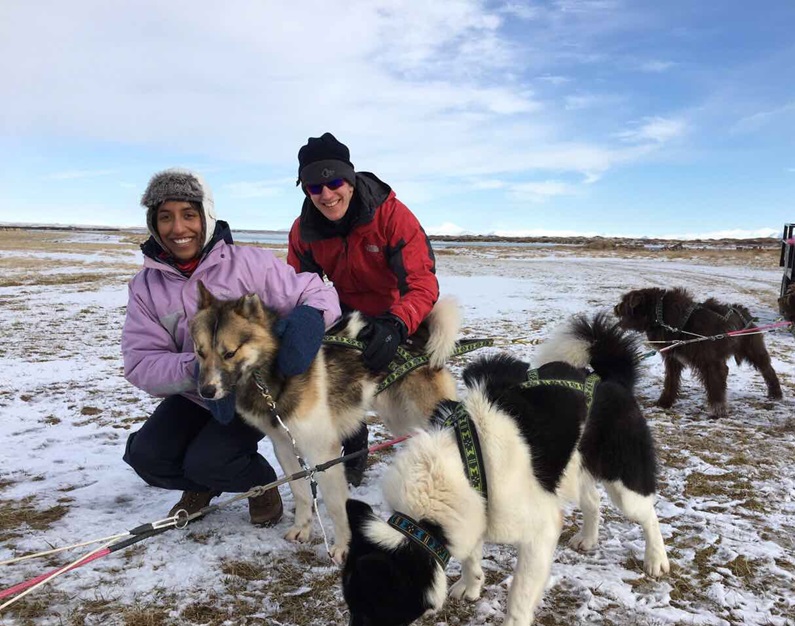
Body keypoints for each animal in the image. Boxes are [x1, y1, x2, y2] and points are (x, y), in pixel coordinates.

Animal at [190, 282, 460, 560]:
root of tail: (419, 337)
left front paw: (343, 547)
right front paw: (302, 529)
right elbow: (301, 493)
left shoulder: (323, 455)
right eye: (200, 351)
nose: (206, 391)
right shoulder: (285, 448)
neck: (273, 378)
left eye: (229, 353)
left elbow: (336, 506)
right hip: (399, 418)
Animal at [344, 312, 672, 624]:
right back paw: (589, 539)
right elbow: (471, 556)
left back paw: (656, 559)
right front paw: (472, 584)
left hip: (624, 484)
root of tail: (608, 378)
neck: (467, 463)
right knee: (592, 500)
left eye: (368, 611)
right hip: (571, 470)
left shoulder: (539, 533)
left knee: (647, 514)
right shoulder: (476, 508)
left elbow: (519, 595)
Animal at [616, 286, 784, 414]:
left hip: (753, 350)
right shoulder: (673, 360)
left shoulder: (710, 362)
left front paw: (717, 411)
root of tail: (744, 311)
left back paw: (775, 393)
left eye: (624, 303)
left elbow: (714, 384)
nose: (615, 308)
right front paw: (664, 402)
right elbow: (671, 382)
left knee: (768, 370)